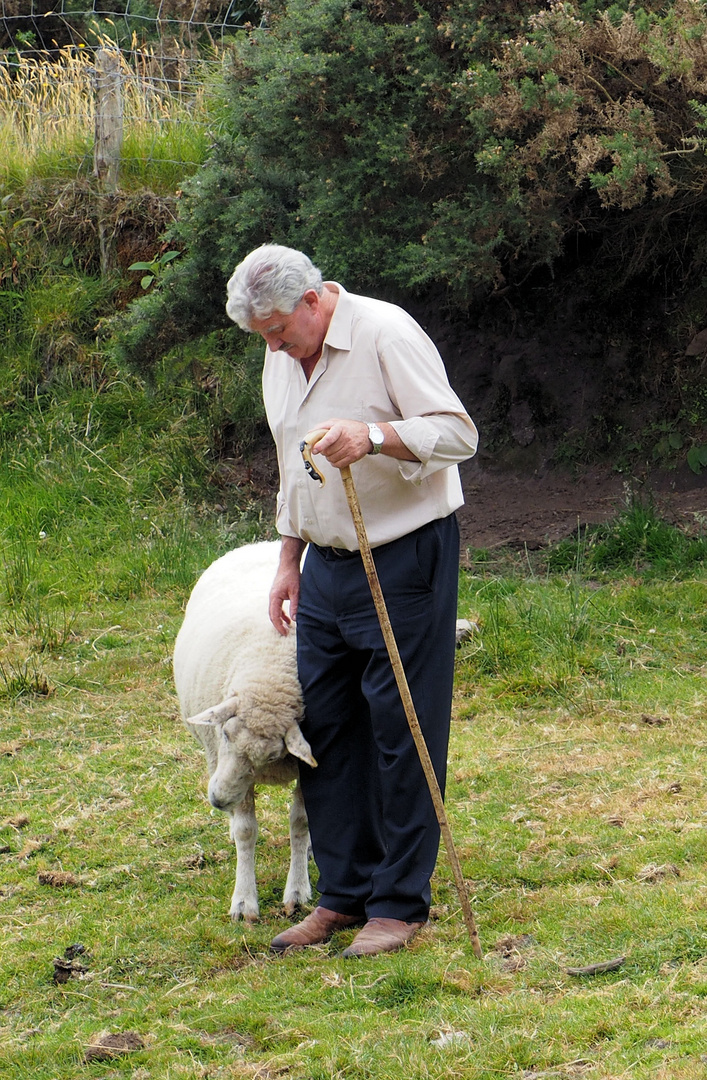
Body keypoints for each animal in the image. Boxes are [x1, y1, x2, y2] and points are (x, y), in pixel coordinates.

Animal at [172, 540, 317, 920]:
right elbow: (246, 830)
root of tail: (266, 543)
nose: (217, 799)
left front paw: (297, 891)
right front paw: (244, 900)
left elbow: (300, 822)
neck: (272, 669)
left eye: (271, 754)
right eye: (224, 734)